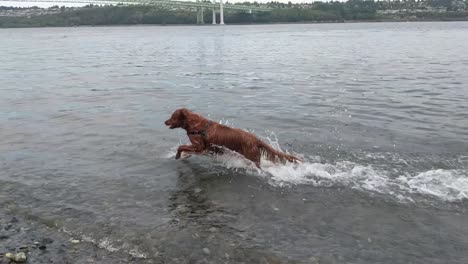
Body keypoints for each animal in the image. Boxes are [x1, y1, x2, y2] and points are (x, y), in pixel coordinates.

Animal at [164, 108, 300, 168]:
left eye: (172, 116)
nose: (165, 121)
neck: (195, 125)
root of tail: (256, 139)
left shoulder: (199, 147)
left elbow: (181, 147)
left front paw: (177, 156)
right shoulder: (202, 149)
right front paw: (184, 156)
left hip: (252, 157)